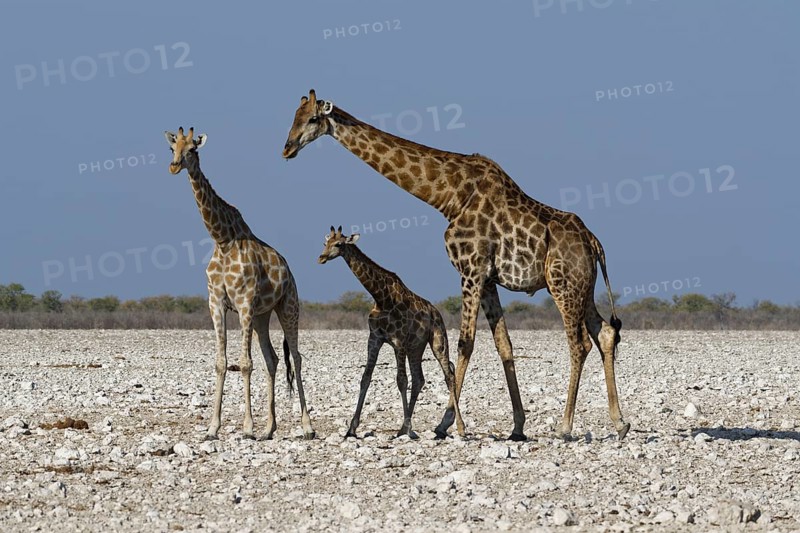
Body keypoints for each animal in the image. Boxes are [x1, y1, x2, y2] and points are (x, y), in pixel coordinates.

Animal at [164, 126, 314, 441]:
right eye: (173, 148)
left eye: (193, 149)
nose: (174, 166)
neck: (222, 240)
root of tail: (290, 271)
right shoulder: (216, 303)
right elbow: (221, 362)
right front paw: (212, 427)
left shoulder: (244, 303)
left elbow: (245, 364)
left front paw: (246, 427)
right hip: (262, 316)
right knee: (273, 359)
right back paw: (269, 429)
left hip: (288, 307)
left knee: (296, 357)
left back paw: (307, 427)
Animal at [318, 226, 463, 439]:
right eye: (325, 242)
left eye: (339, 244)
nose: (321, 258)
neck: (381, 298)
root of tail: (436, 312)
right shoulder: (375, 338)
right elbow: (366, 378)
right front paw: (351, 429)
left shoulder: (399, 340)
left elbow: (401, 380)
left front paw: (409, 429)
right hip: (416, 347)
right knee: (419, 379)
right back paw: (405, 426)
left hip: (438, 341)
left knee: (449, 375)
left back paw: (459, 426)